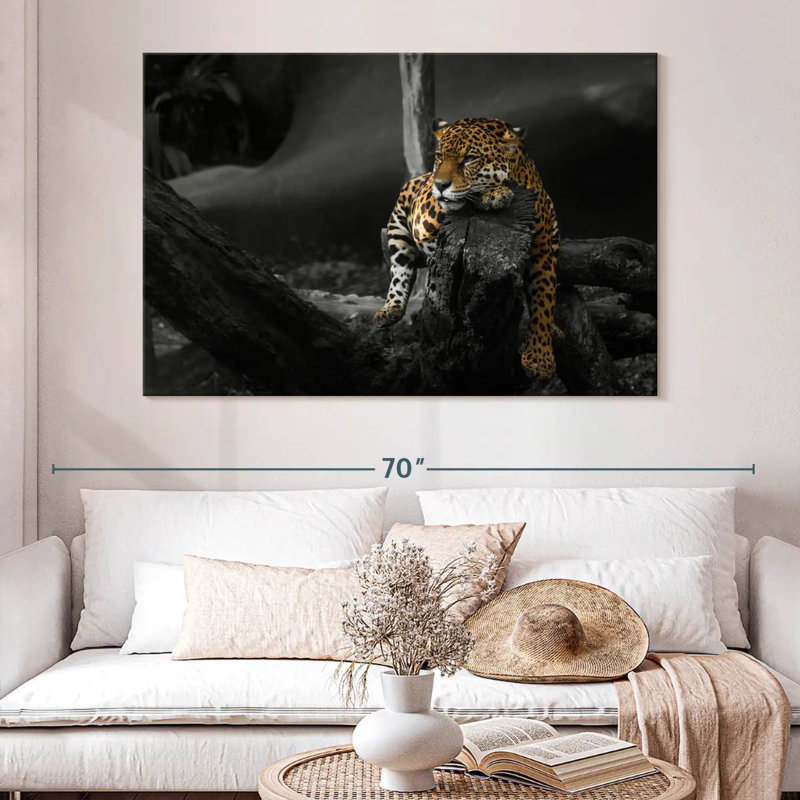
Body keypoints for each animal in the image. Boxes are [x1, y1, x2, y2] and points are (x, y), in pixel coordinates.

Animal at [374, 116, 559, 380]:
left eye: (470, 158)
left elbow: (545, 298)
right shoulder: (426, 210)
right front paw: (495, 193)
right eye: (439, 156)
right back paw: (391, 308)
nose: (440, 184)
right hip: (400, 223)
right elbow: (460, 199)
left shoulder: (542, 251)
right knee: (400, 269)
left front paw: (540, 359)